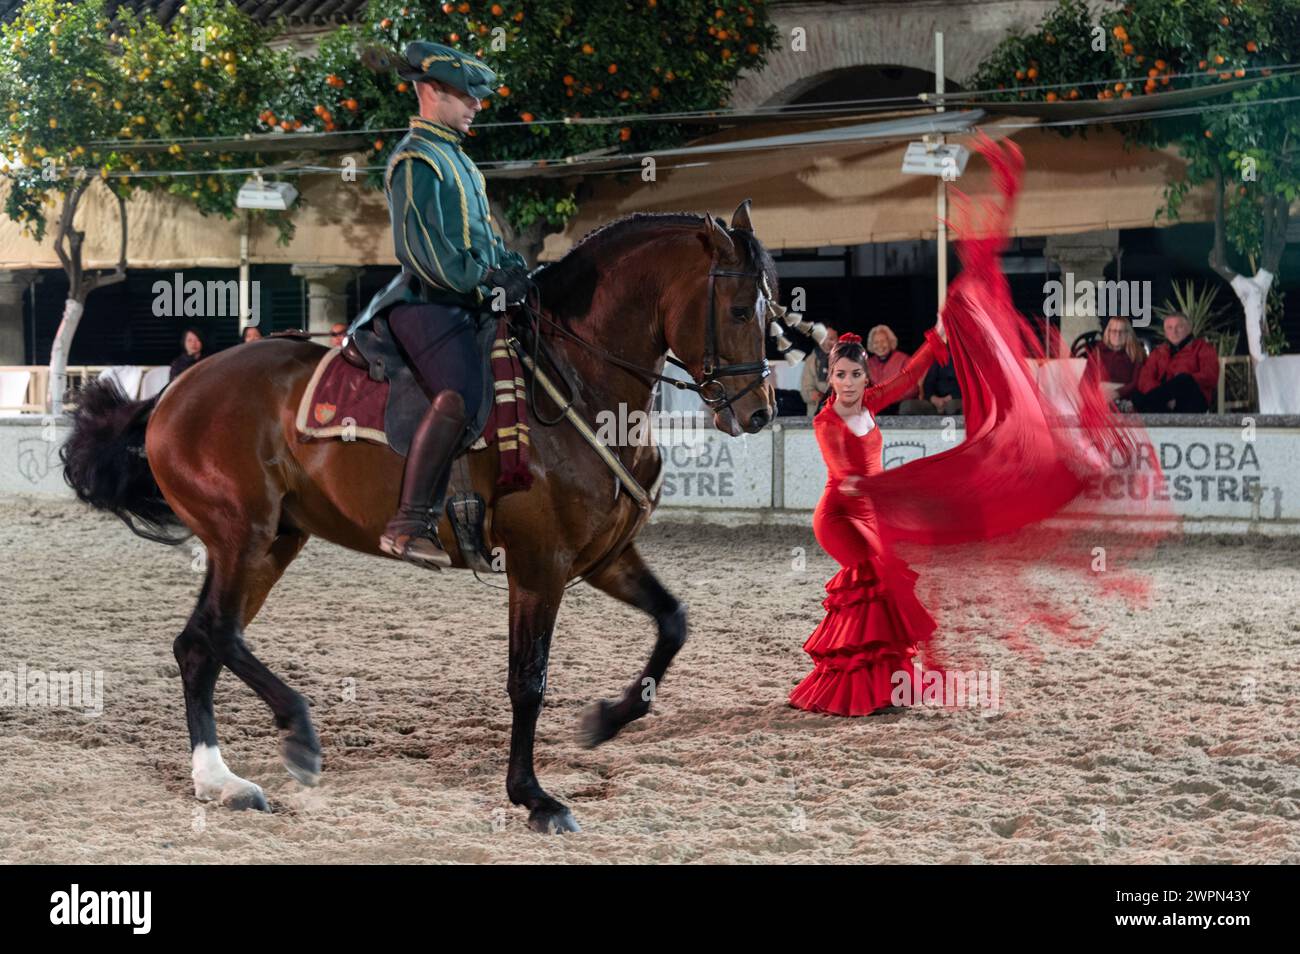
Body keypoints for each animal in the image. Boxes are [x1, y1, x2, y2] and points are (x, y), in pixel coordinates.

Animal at [58, 204, 769, 837]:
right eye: (739, 309)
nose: (757, 411)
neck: (576, 381)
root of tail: (172, 393)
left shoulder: (602, 558)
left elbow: (673, 622)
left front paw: (605, 721)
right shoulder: (539, 565)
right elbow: (527, 681)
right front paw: (533, 796)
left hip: (274, 541)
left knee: (198, 645)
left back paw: (219, 781)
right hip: (242, 535)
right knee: (218, 633)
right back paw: (297, 734)